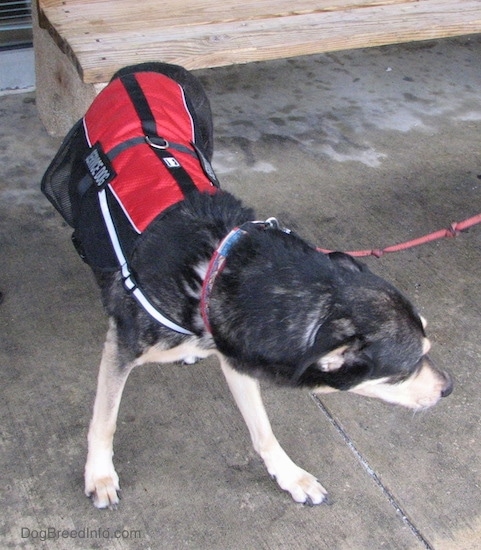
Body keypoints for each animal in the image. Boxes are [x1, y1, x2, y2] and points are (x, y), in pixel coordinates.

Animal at [43, 62, 452, 512]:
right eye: (406, 368)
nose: (449, 388)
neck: (219, 269)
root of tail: (144, 67)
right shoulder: (122, 350)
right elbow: (105, 420)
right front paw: (99, 473)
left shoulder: (235, 350)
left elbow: (263, 429)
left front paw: (290, 475)